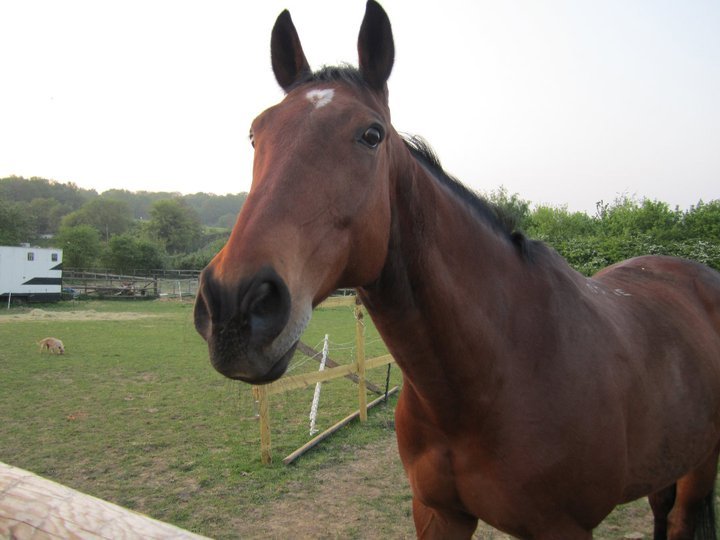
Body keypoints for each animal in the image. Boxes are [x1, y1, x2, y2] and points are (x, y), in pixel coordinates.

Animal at [193, 2, 720, 538]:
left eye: (371, 135)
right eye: (255, 133)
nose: (234, 306)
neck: (497, 370)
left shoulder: (563, 528)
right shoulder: (437, 512)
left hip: (701, 467)